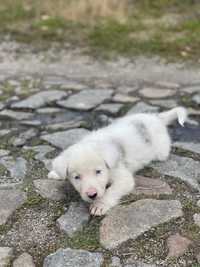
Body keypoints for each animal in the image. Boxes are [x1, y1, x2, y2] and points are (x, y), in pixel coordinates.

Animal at [48, 106, 188, 216]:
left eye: (98, 171)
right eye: (77, 177)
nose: (92, 195)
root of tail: (157, 118)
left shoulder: (123, 178)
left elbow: (111, 191)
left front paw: (100, 204)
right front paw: (55, 173)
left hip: (161, 152)